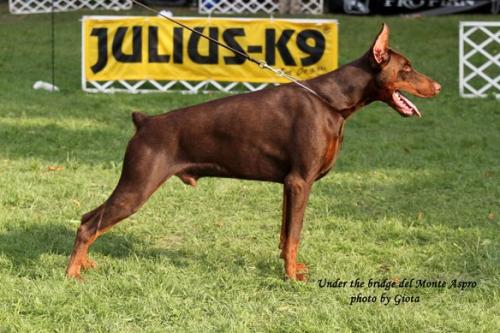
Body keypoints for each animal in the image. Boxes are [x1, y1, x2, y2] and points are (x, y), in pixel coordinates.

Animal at [67, 23, 442, 278]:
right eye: (406, 68)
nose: (438, 86)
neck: (332, 102)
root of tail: (145, 121)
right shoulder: (300, 181)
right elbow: (294, 234)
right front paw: (292, 277)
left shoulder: (289, 185)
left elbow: (285, 233)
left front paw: (290, 267)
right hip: (139, 184)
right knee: (89, 225)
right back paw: (72, 274)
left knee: (88, 218)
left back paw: (85, 263)